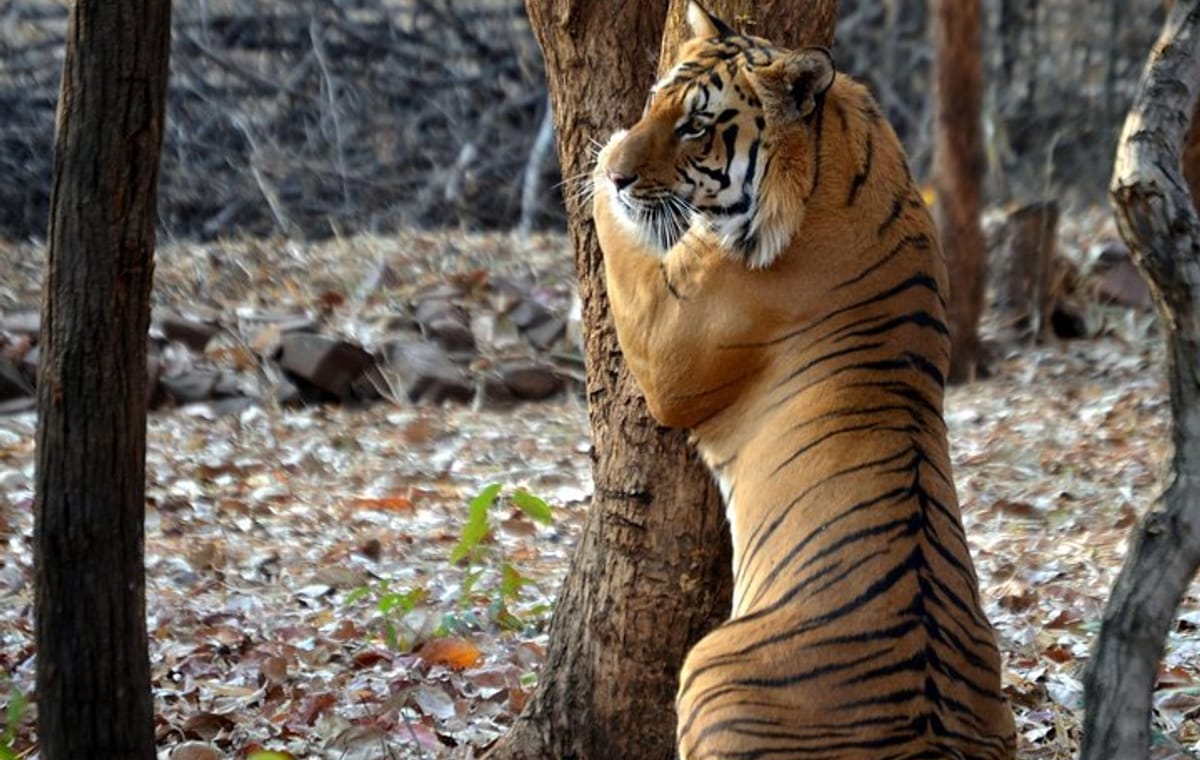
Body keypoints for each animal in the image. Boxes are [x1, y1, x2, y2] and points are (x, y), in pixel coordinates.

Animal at [591, 3, 1017, 759]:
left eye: (695, 126)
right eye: (653, 100)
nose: (617, 173)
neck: (836, 152)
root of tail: (927, 738)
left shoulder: (669, 343)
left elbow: (623, 244)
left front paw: (596, 171)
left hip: (707, 671)